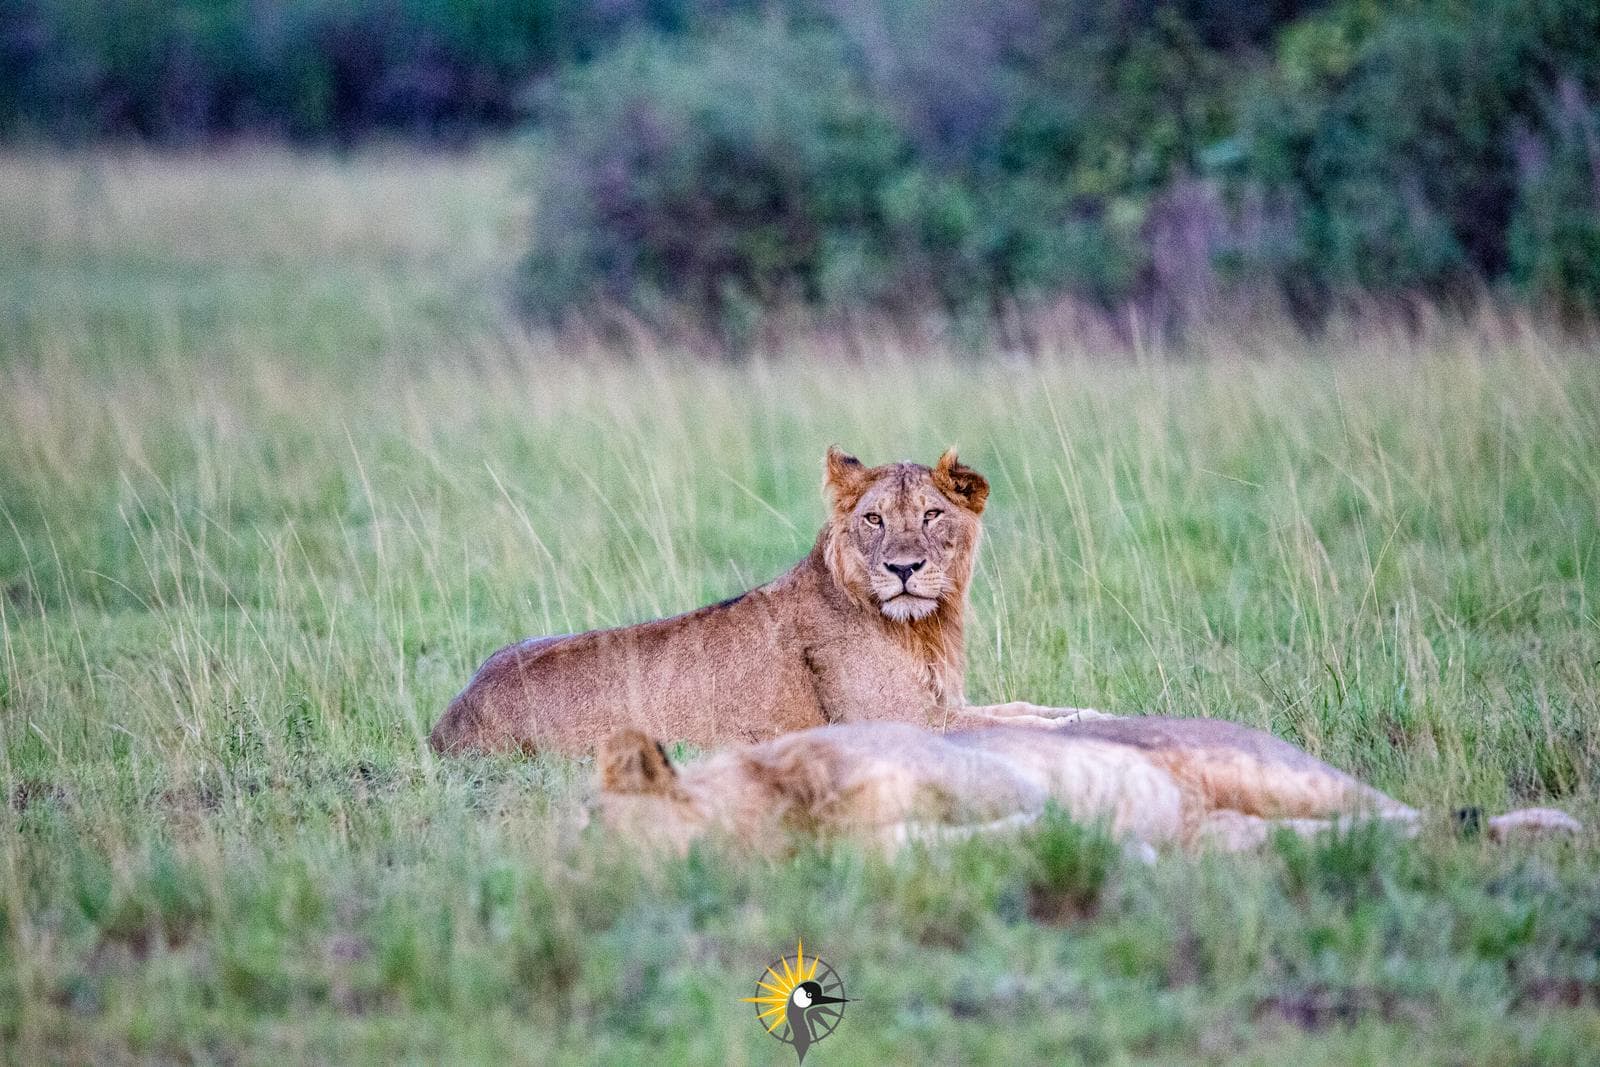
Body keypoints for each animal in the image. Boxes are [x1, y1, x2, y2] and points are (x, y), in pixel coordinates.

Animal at [429, 447, 1097, 756]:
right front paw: (1078, 724)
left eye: (932, 514)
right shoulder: (905, 723)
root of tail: (447, 722)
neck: (923, 627)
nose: (903, 569)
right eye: (874, 519)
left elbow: (1022, 707)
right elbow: (1011, 724)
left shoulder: (942, 705)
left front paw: (1082, 711)